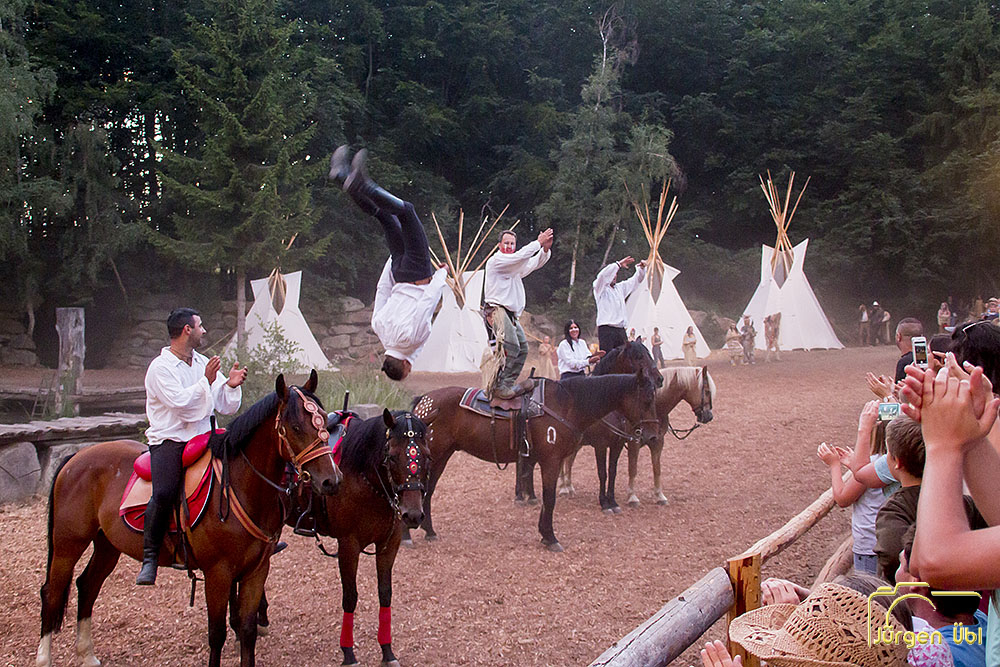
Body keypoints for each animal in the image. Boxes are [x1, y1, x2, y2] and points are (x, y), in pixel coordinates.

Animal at [37, 371, 341, 667]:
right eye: (296, 427)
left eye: (323, 420)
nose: (331, 480)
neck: (238, 486)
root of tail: (75, 457)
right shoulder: (218, 573)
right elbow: (217, 634)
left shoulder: (256, 570)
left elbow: (247, 631)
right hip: (68, 545)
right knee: (52, 592)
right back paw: (44, 658)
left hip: (107, 545)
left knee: (87, 586)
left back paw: (86, 654)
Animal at [257, 409, 430, 667]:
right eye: (391, 458)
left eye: (426, 457)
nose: (413, 514)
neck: (363, 476)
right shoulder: (349, 545)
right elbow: (350, 597)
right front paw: (348, 653)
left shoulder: (389, 545)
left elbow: (385, 594)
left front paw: (387, 651)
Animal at [404, 370, 659, 552]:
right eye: (647, 399)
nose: (652, 435)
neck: (567, 404)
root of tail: (423, 402)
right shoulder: (551, 461)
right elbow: (550, 498)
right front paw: (551, 537)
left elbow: (547, 497)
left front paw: (544, 534)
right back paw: (407, 536)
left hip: (440, 458)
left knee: (427, 492)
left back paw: (429, 531)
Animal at [558, 365, 715, 507]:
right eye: (707, 391)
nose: (709, 416)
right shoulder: (633, 443)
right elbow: (632, 469)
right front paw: (632, 497)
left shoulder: (658, 443)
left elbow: (657, 469)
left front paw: (660, 496)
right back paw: (563, 488)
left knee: (569, 461)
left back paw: (569, 486)